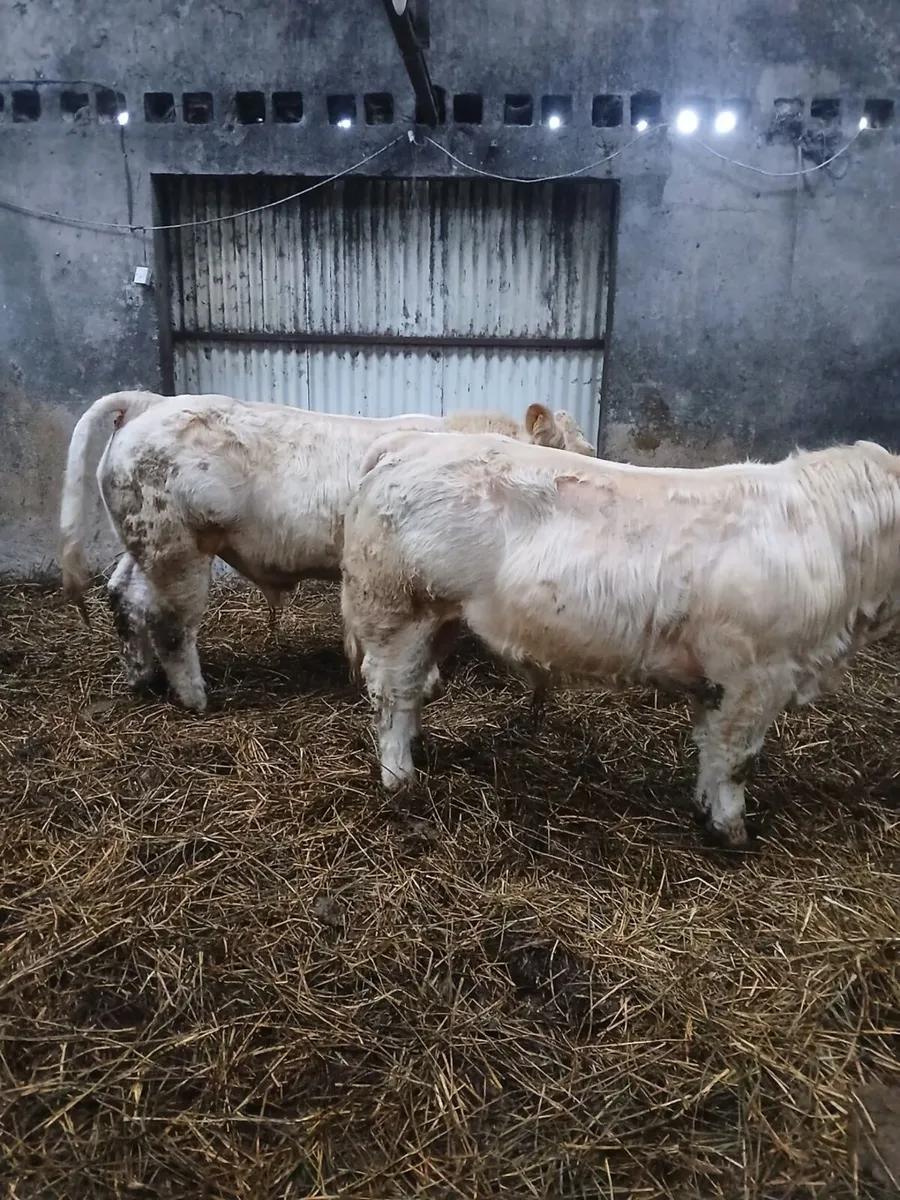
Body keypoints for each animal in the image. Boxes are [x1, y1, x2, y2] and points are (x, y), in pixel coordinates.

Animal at [59, 390, 595, 712]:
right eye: (576, 452)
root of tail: (149, 402)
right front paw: (425, 682)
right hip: (178, 549)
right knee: (168, 620)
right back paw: (195, 697)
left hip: (144, 545)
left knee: (123, 595)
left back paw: (140, 677)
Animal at [340, 430, 900, 848]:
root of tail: (408, 443)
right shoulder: (755, 674)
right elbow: (738, 758)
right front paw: (732, 830)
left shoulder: (718, 680)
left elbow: (710, 746)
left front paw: (704, 808)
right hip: (400, 610)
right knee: (392, 693)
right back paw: (400, 779)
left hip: (440, 620)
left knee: (414, 690)